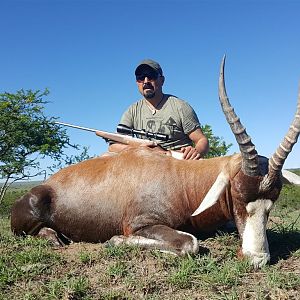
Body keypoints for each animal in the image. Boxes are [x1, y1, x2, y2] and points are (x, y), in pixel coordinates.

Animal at [10, 58, 298, 268]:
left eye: (273, 201)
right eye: (237, 195)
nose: (257, 259)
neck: (181, 178)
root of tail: (44, 187)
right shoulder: (142, 224)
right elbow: (190, 243)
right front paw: (115, 240)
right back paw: (54, 237)